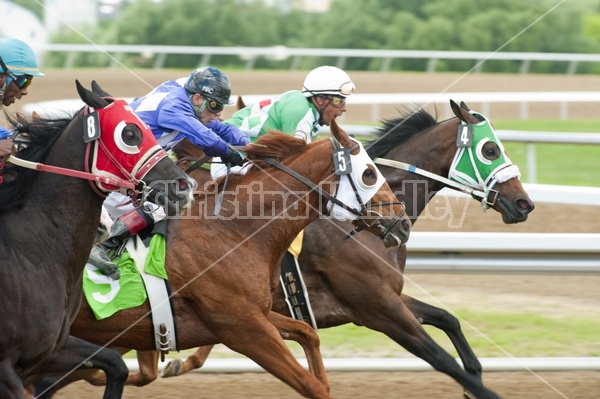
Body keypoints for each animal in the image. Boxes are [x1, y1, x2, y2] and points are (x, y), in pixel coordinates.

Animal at [0, 81, 193, 399]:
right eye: (130, 134)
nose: (183, 187)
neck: (33, 250)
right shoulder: (6, 366)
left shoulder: (52, 348)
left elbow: (116, 364)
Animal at [58, 122, 410, 399]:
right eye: (368, 174)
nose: (404, 223)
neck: (232, 231)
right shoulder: (243, 329)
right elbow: (312, 385)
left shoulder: (257, 315)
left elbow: (307, 334)